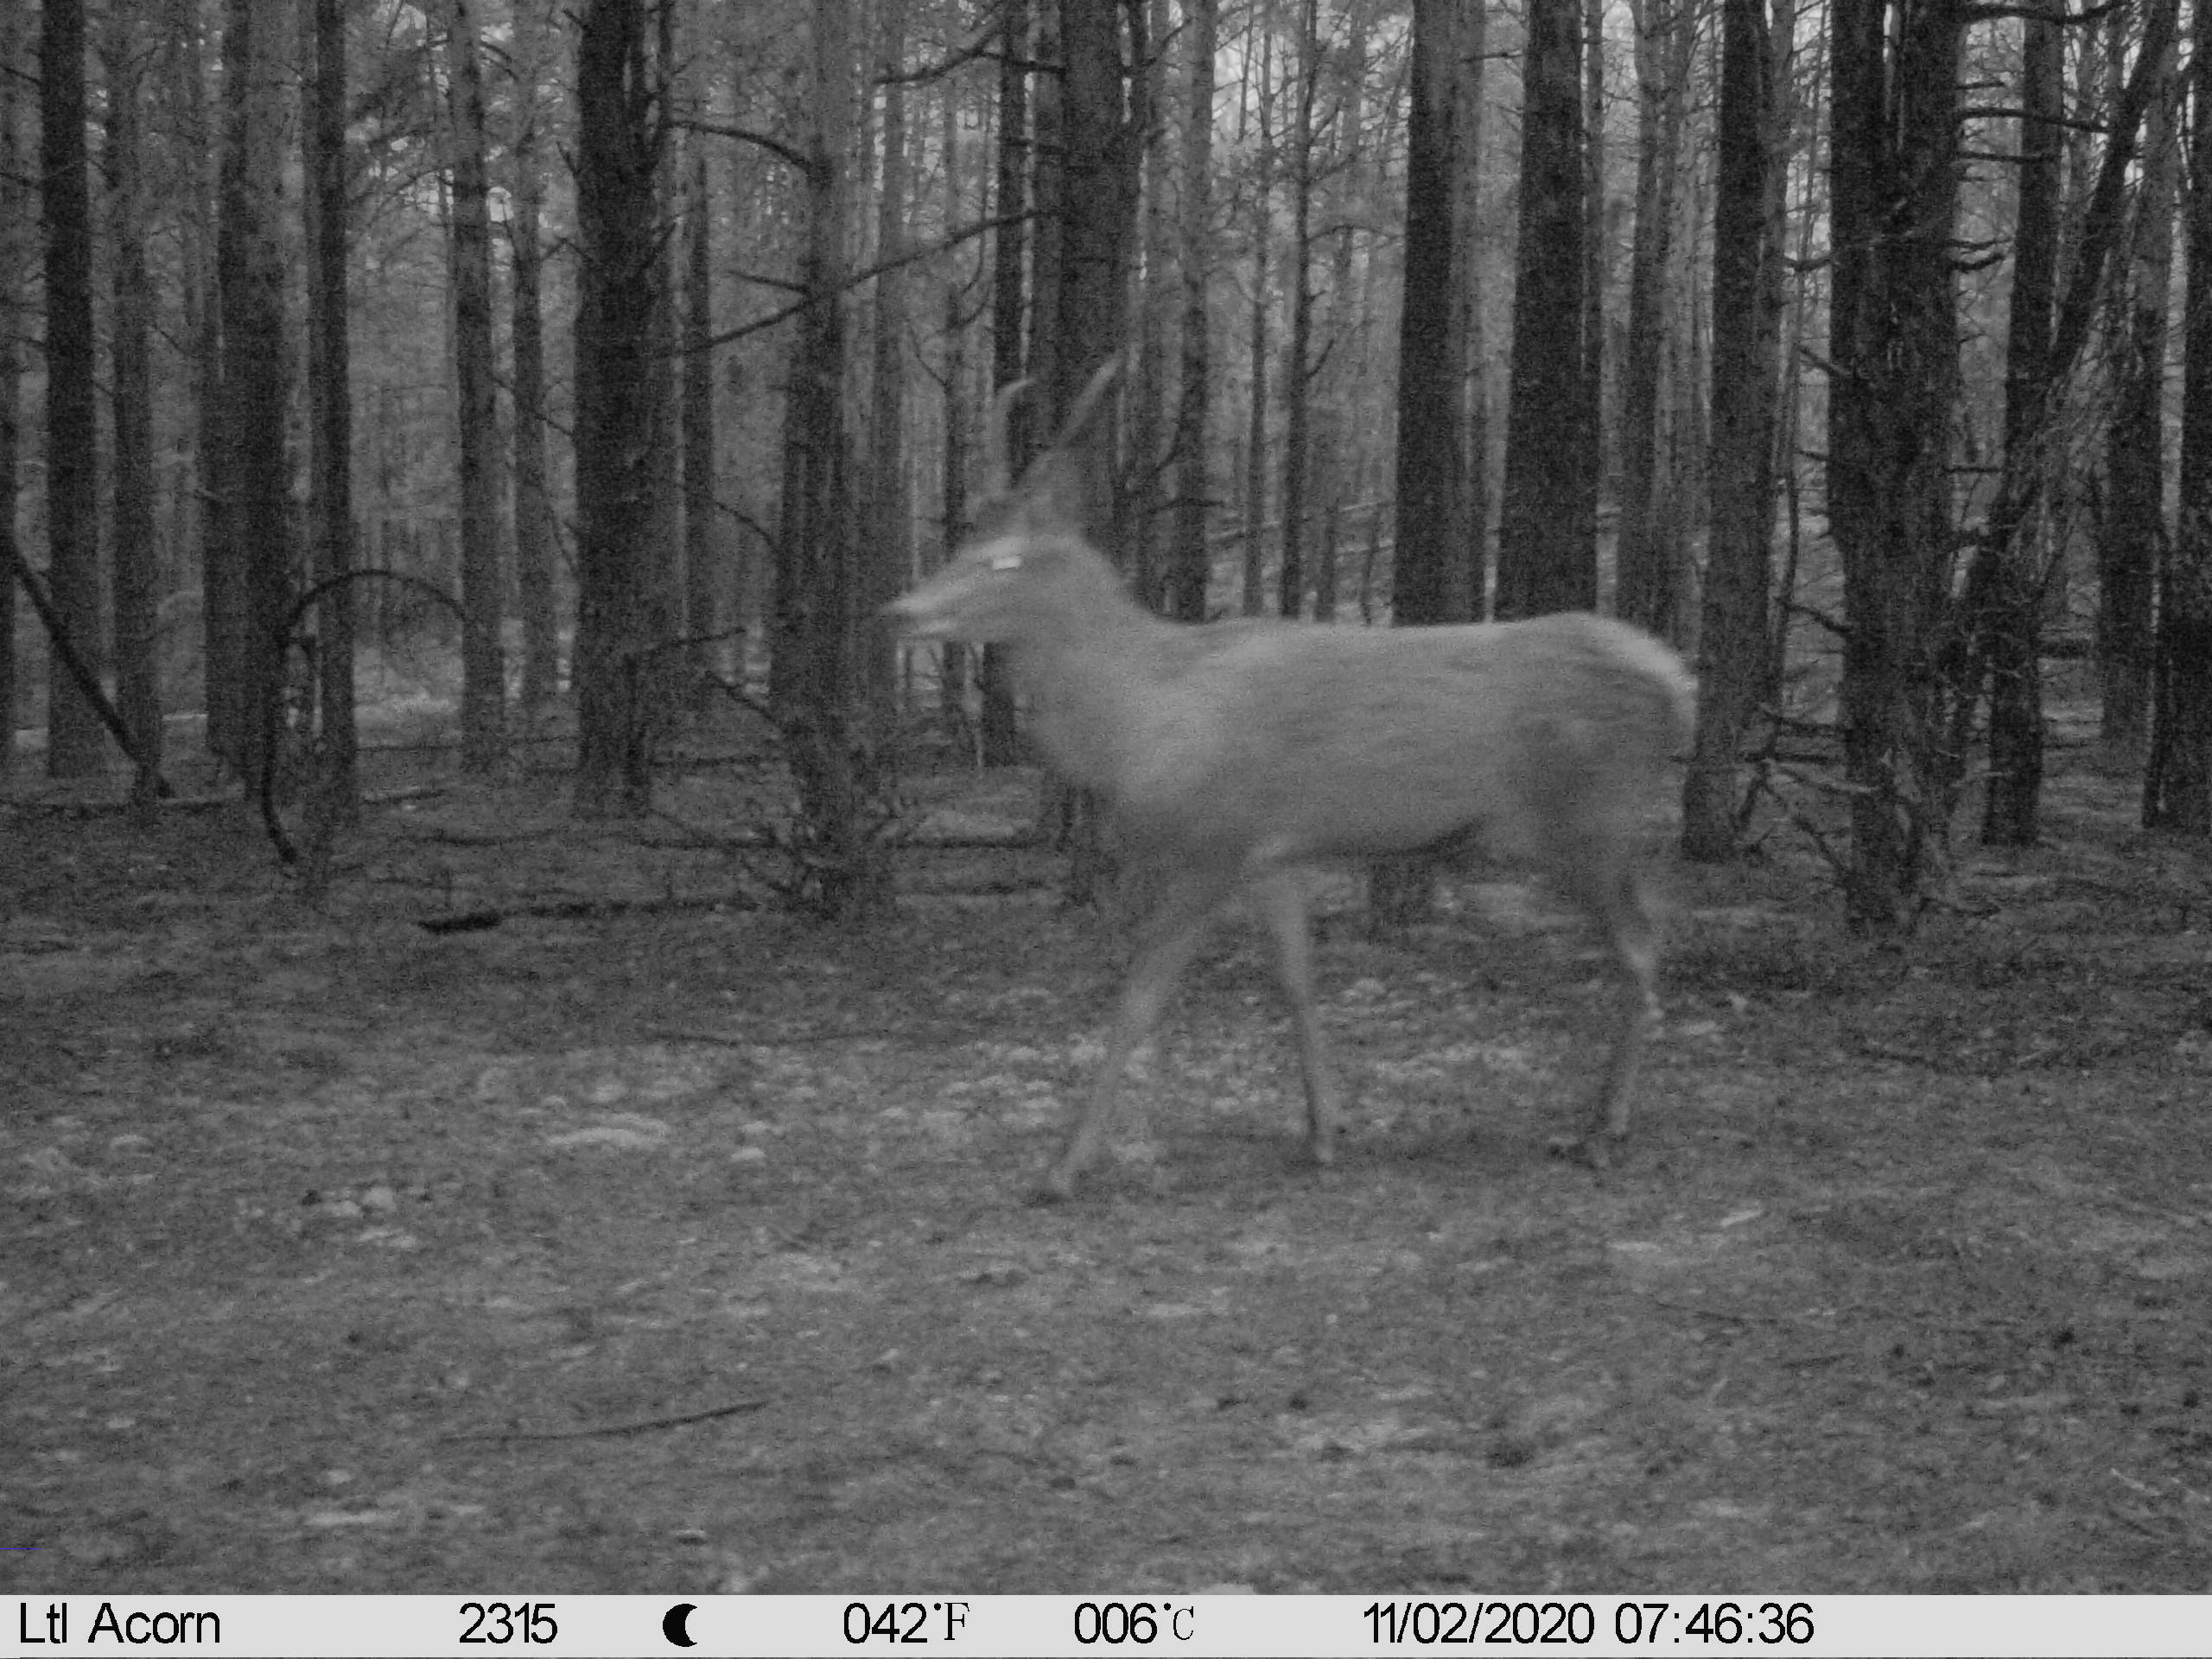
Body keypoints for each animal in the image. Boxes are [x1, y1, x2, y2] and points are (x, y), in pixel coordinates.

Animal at [888, 362, 1696, 1200]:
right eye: (959, 543)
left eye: (1004, 560)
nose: (897, 611)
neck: (1142, 718)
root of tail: (1680, 685)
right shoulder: (1271, 854)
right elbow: (1297, 980)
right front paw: (1324, 1132)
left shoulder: (1212, 844)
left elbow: (1138, 1000)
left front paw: (1063, 1166)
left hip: (1590, 814)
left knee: (1642, 943)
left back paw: (1603, 1131)